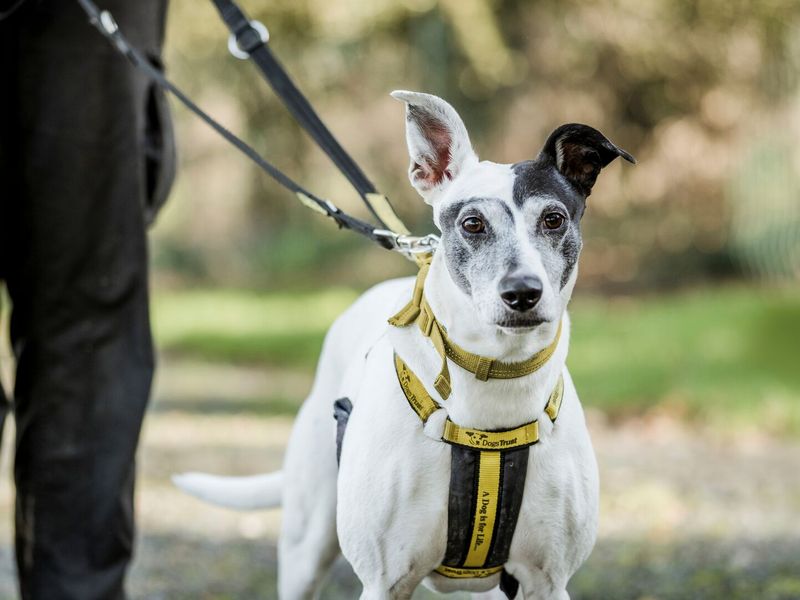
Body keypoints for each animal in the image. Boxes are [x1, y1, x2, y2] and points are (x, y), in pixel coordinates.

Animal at [173, 90, 632, 600]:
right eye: (473, 223)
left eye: (553, 219)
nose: (522, 293)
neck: (494, 387)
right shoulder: (383, 581)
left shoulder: (546, 583)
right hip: (305, 547)